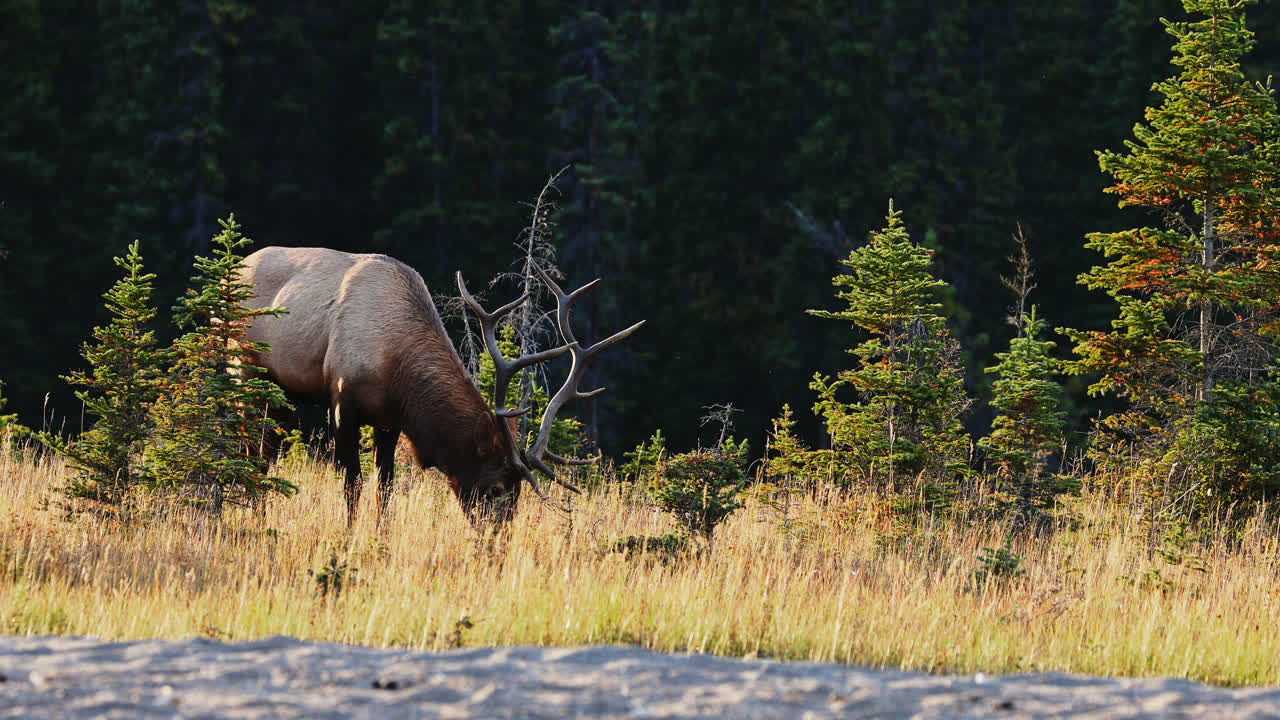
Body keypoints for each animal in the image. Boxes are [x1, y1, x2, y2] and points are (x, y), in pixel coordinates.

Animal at [238, 245, 642, 529]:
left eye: (519, 495)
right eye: (495, 488)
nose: (498, 544)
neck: (396, 366)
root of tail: (240, 264)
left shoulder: (389, 420)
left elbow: (385, 486)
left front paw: (381, 538)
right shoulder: (342, 399)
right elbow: (353, 482)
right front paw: (348, 536)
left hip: (279, 395)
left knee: (263, 453)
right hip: (243, 367)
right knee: (247, 449)